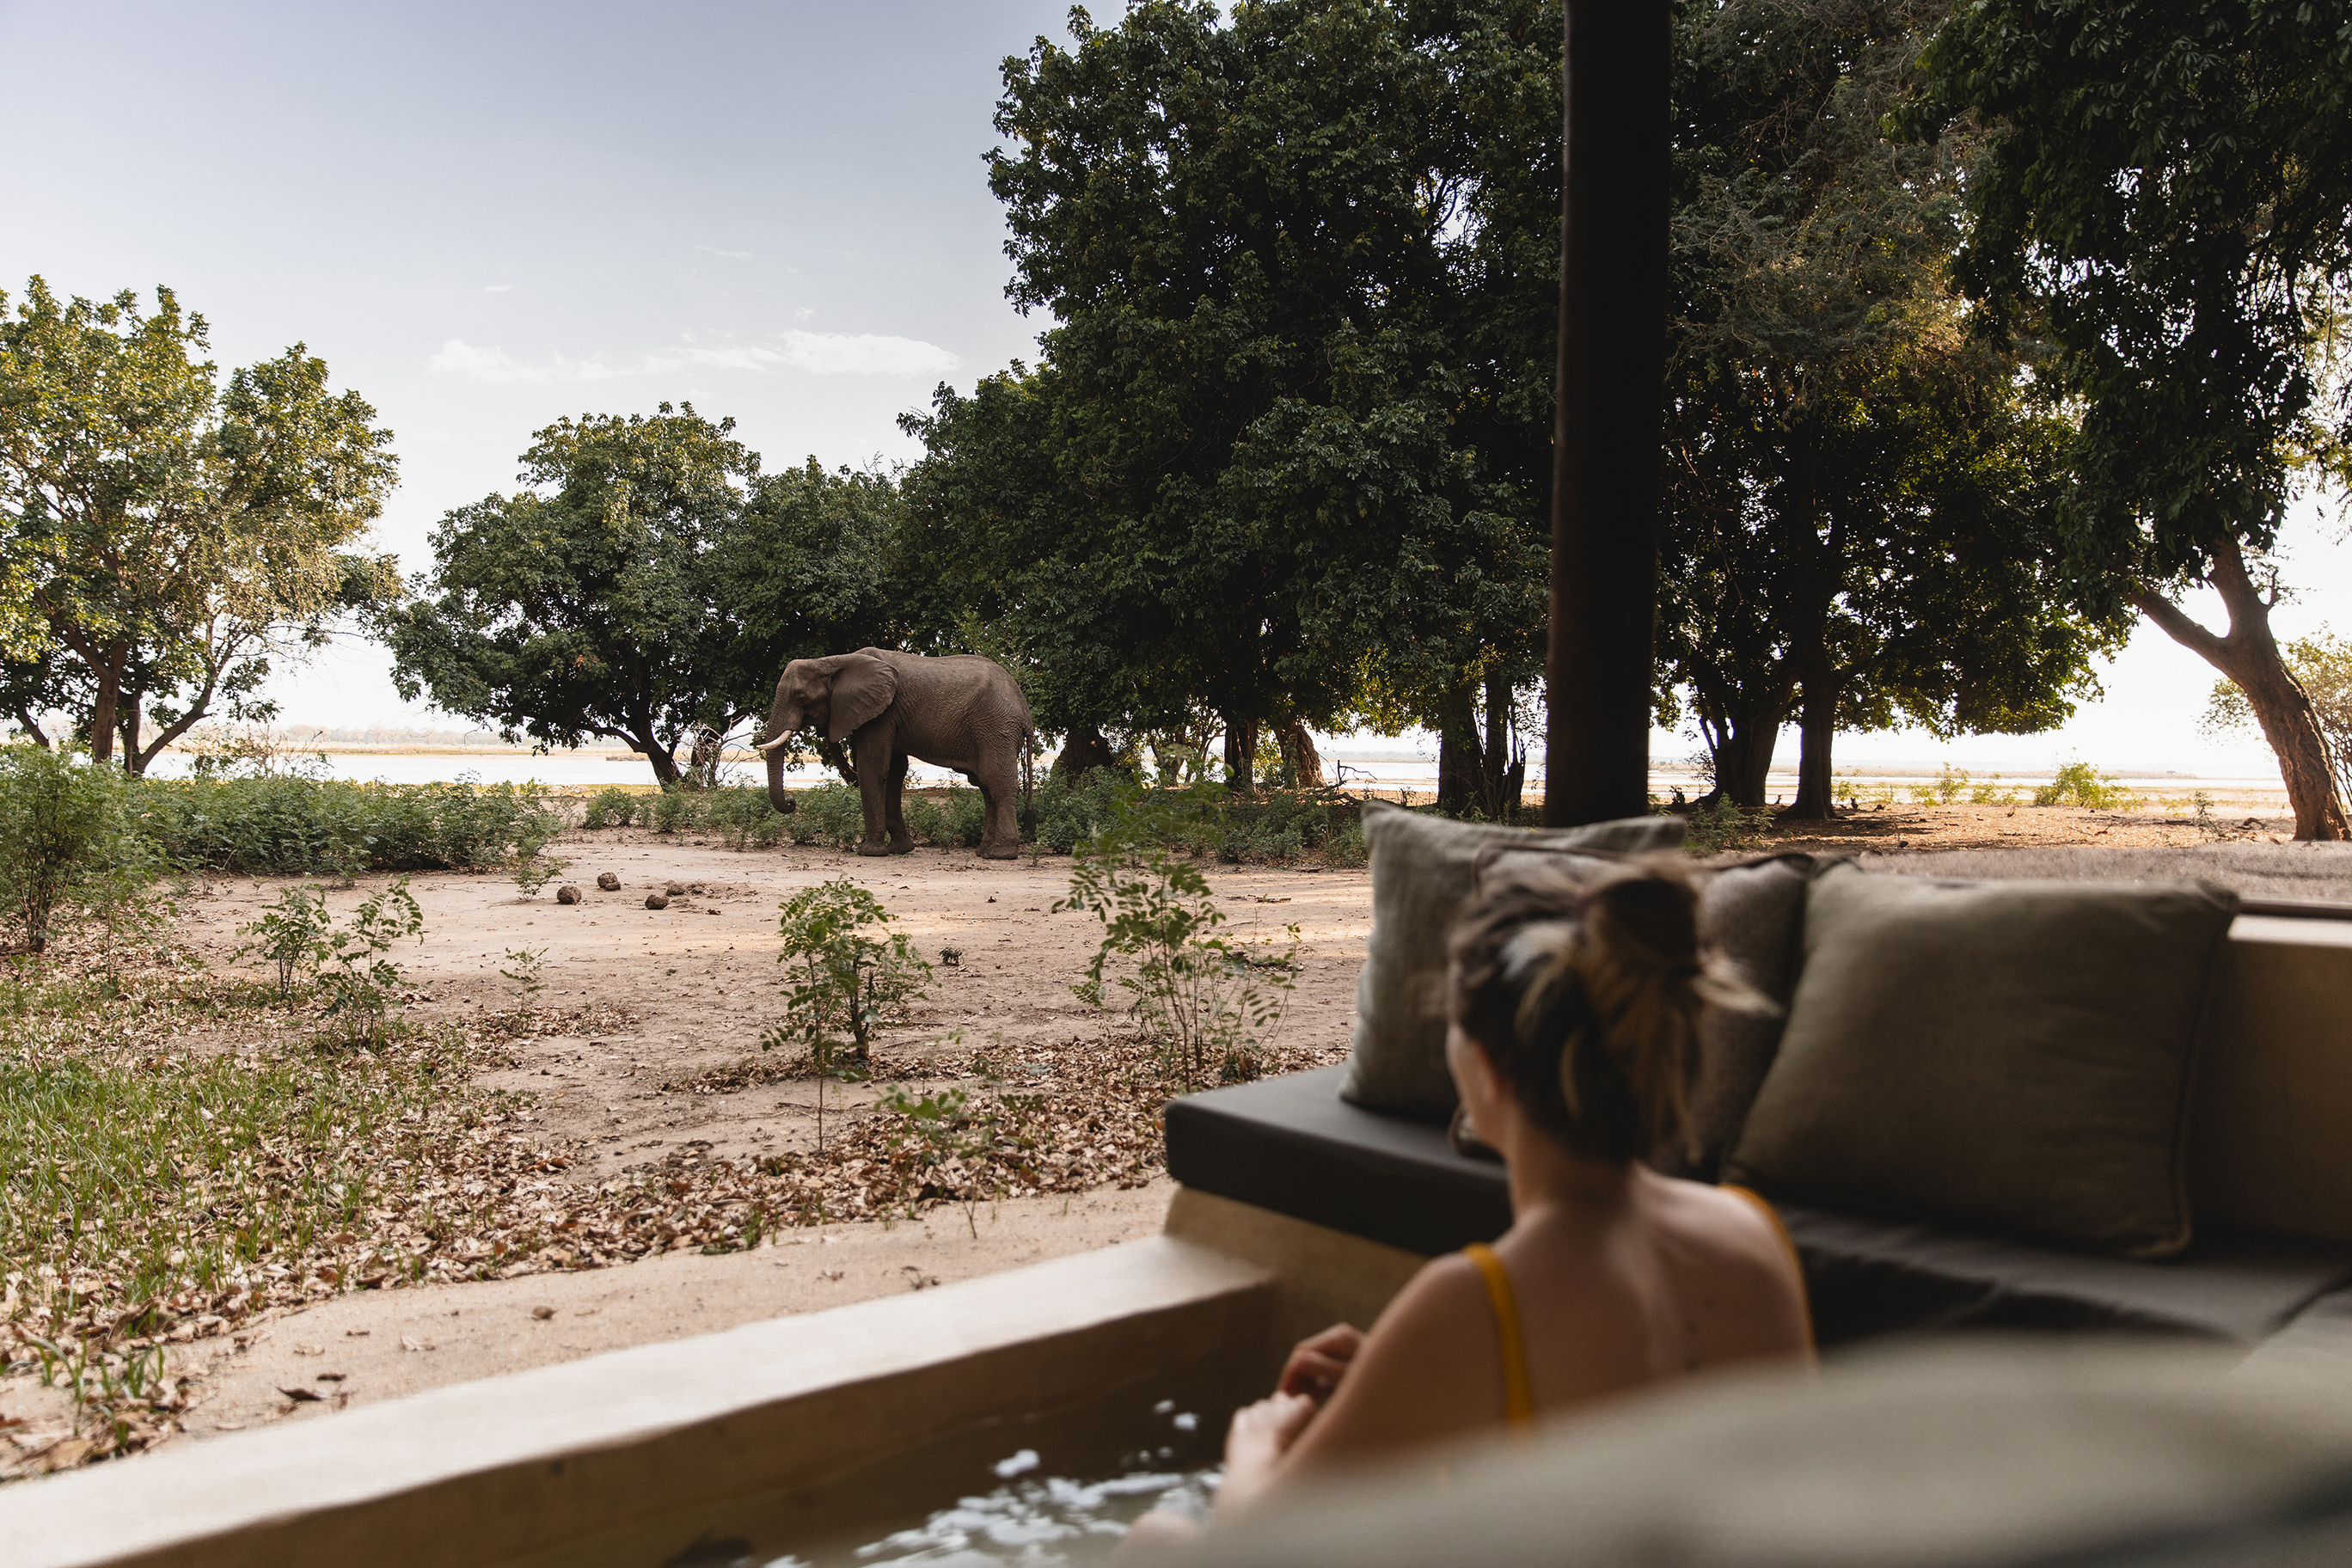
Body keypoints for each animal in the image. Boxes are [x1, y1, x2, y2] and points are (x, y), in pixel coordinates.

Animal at [755, 649, 1036, 859]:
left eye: (801, 697)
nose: (792, 803)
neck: (833, 661)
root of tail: (1023, 707)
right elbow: (894, 771)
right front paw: (900, 849)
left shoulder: (882, 714)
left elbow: (871, 767)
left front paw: (868, 852)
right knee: (985, 787)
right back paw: (983, 852)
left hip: (996, 728)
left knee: (996, 783)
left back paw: (1001, 854)